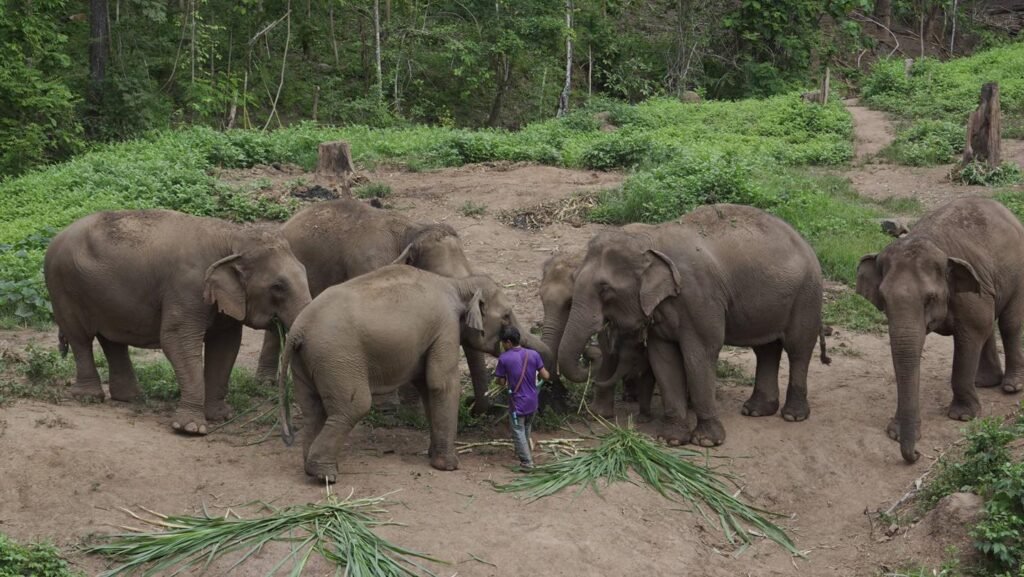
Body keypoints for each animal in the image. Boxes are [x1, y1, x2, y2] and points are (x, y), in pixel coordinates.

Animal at [44, 209, 312, 435]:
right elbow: (176, 340)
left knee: (111, 338)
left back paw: (131, 398)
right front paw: (191, 428)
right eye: (278, 286)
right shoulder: (187, 287)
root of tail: (57, 235)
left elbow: (226, 346)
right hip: (62, 285)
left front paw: (221, 416)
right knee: (80, 337)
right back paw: (89, 397)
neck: (232, 237)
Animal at [254, 197, 503, 415]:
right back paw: (265, 384)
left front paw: (411, 407)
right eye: (444, 281)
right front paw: (390, 408)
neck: (411, 231)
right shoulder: (370, 265)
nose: (471, 406)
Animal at [277, 265, 545, 482]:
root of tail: (298, 329)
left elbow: (427, 386)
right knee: (352, 407)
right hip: (337, 357)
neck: (457, 284)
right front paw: (449, 467)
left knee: (313, 410)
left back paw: (311, 468)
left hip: (308, 361)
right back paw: (325, 475)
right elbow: (441, 384)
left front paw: (433, 457)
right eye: (507, 315)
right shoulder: (445, 327)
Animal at [558, 204, 829, 447]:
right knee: (766, 349)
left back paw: (793, 415)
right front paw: (671, 439)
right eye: (574, 278)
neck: (651, 237)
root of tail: (804, 242)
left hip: (807, 294)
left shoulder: (699, 297)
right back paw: (756, 410)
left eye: (605, 289)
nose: (590, 354)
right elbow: (663, 358)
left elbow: (698, 356)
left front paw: (707, 441)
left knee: (798, 348)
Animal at [856, 196, 1024, 463]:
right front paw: (896, 433)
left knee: (1009, 322)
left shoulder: (967, 292)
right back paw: (985, 382)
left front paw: (962, 416)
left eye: (930, 298)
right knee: (989, 325)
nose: (917, 453)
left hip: (1017, 271)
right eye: (883, 298)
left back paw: (1010, 386)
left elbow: (971, 332)